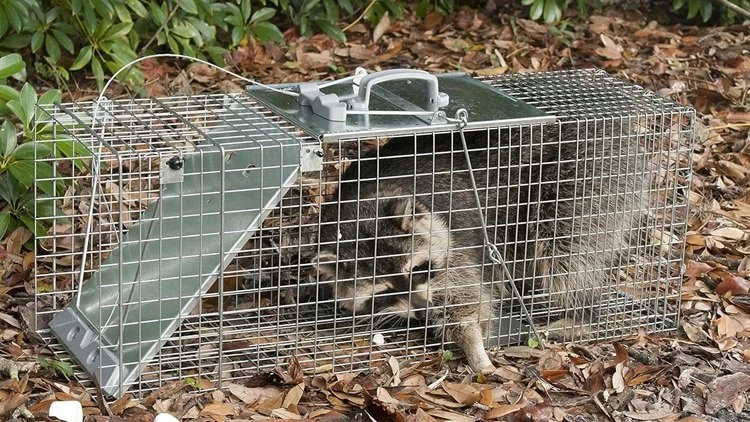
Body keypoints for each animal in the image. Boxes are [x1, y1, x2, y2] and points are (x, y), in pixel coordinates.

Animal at [313, 122, 647, 373]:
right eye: (384, 291)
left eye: (418, 269)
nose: (422, 311)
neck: (361, 206)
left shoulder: (456, 240)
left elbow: (466, 299)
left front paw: (472, 342)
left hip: (581, 179)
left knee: (564, 255)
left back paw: (581, 313)